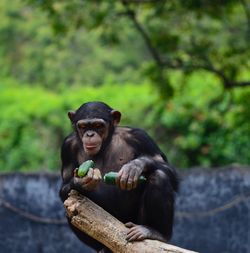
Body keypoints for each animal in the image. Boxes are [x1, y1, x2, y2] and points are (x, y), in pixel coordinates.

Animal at [59, 102, 179, 252]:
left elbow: (166, 167)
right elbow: (64, 186)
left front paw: (135, 166)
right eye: (83, 126)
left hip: (135, 222)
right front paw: (80, 182)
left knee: (159, 176)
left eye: (98, 126)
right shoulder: (67, 146)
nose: (90, 134)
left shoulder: (140, 136)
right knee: (69, 206)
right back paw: (103, 248)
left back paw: (155, 232)